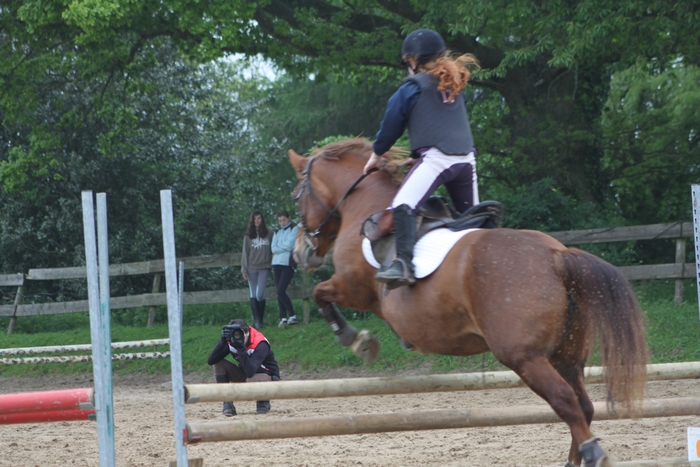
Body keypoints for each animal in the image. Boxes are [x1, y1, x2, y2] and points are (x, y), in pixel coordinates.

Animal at [288, 137, 648, 466]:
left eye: (296, 197)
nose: (300, 253)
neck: (363, 205)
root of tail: (556, 255)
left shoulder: (352, 287)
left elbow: (321, 293)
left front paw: (357, 340)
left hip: (525, 357)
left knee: (566, 402)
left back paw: (592, 453)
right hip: (567, 356)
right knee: (583, 405)